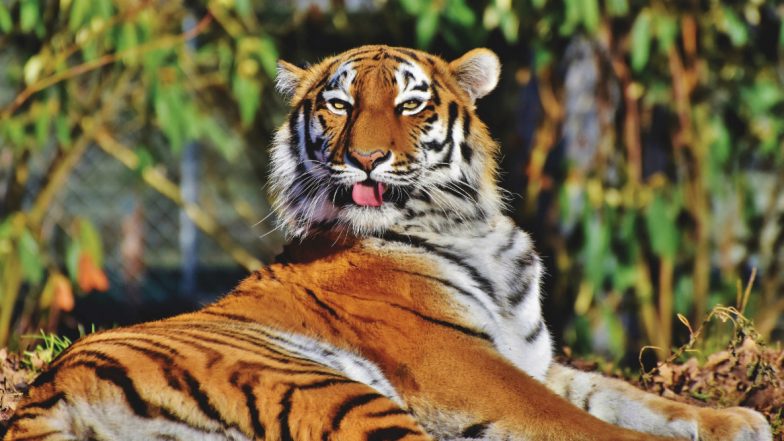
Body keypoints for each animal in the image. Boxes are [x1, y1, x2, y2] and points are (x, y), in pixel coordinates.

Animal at [3, 45, 772, 441]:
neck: (469, 223)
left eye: (410, 103)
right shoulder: (465, 366)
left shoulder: (529, 356)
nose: (367, 159)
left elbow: (622, 395)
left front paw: (735, 419)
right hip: (327, 386)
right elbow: (582, 425)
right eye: (339, 105)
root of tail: (45, 390)